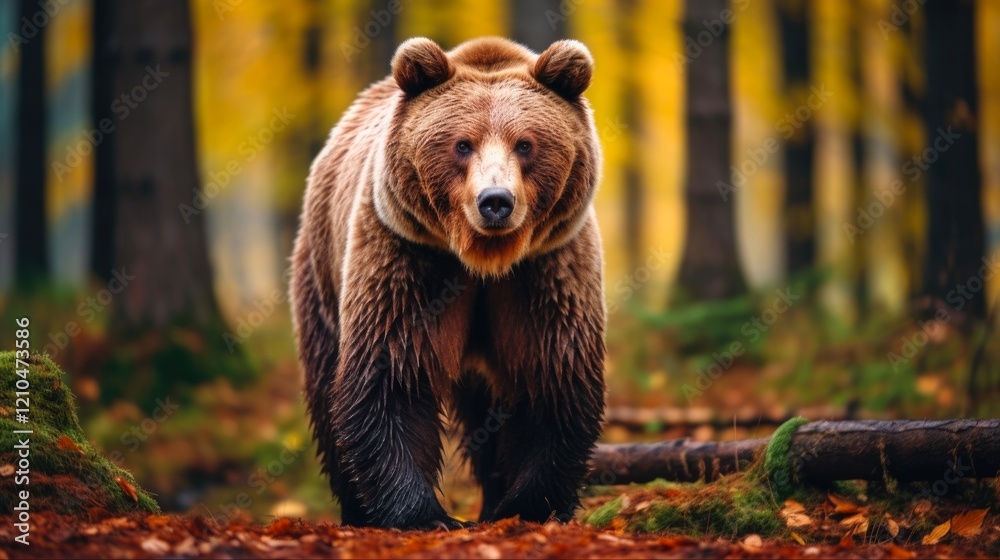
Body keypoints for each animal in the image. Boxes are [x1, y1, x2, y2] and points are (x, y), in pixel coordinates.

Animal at [290, 36, 606, 530]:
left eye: (525, 144)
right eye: (462, 144)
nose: (495, 201)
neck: (485, 260)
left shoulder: (545, 268)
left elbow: (550, 374)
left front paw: (528, 505)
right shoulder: (411, 257)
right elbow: (393, 374)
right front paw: (421, 513)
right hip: (322, 269)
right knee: (325, 385)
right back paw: (355, 509)